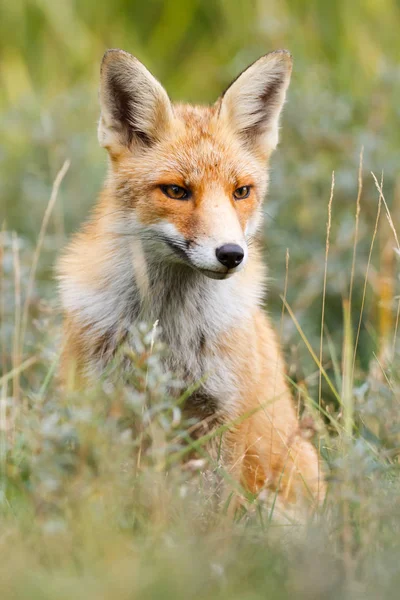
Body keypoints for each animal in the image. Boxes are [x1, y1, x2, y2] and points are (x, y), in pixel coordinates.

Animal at [57, 49, 324, 510]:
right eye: (177, 191)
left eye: (241, 192)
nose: (231, 254)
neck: (169, 332)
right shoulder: (102, 406)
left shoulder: (224, 416)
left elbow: (213, 512)